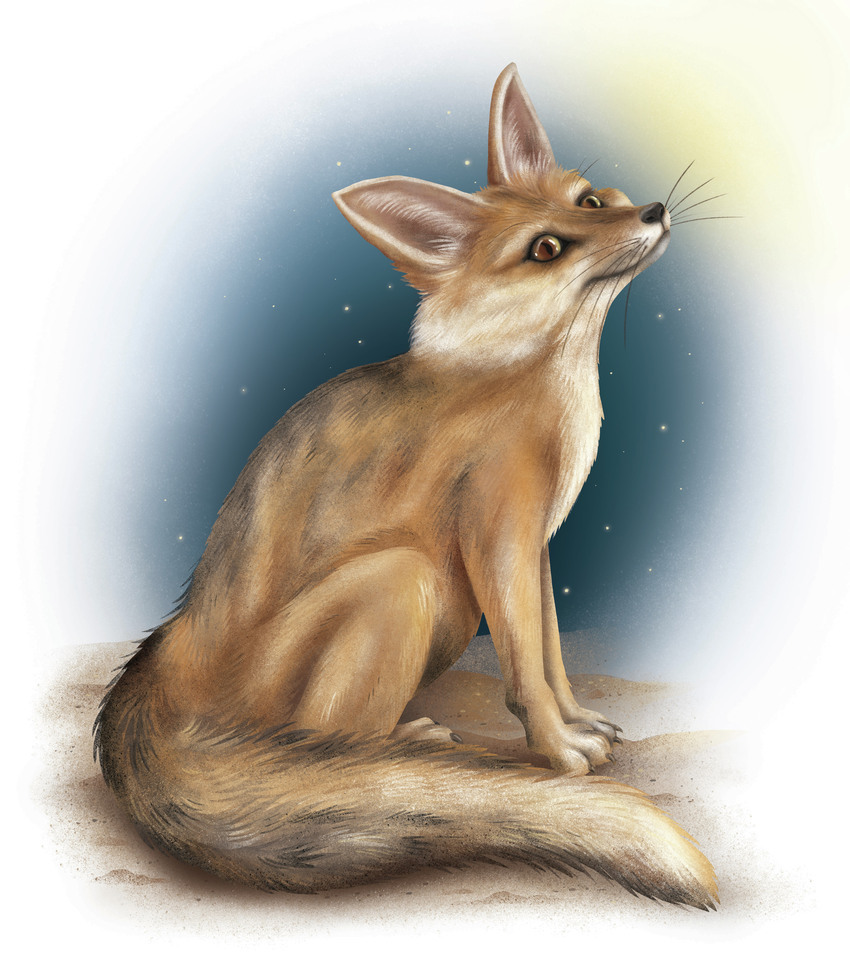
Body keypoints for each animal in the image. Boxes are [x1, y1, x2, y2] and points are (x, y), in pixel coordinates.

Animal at [95, 63, 718, 909]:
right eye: (546, 248)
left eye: (588, 202)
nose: (652, 210)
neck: (529, 380)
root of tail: (175, 646)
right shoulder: (497, 535)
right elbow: (525, 671)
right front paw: (556, 753)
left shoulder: (534, 545)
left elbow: (551, 656)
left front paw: (581, 722)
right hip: (406, 579)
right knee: (321, 749)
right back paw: (400, 745)